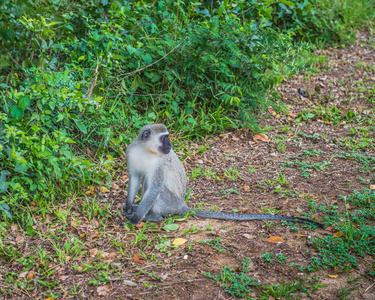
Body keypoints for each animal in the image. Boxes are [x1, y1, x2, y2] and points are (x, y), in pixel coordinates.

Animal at [122, 123, 324, 229]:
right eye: (164, 138)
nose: (170, 145)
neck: (146, 151)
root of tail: (181, 205)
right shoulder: (131, 152)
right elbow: (135, 178)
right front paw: (129, 207)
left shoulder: (161, 163)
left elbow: (155, 187)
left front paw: (135, 218)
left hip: (169, 204)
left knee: (155, 190)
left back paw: (153, 217)